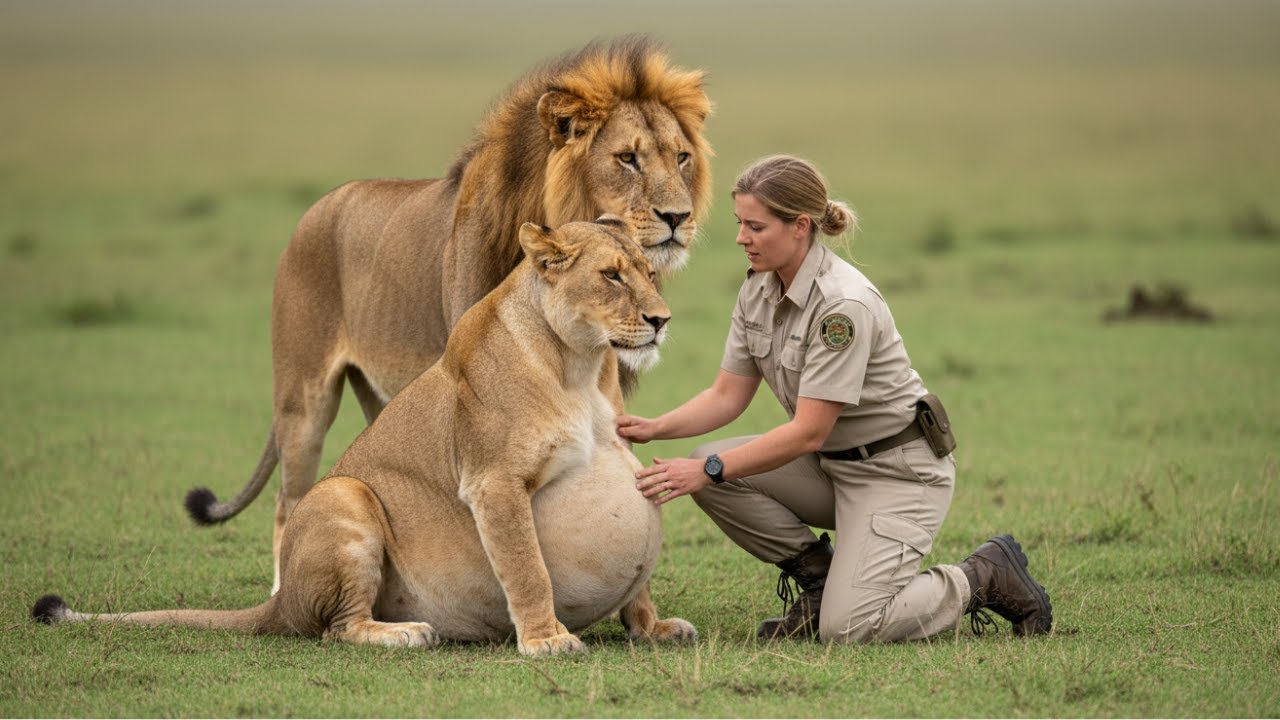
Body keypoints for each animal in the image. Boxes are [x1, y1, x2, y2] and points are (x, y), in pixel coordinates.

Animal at [33, 219, 695, 655]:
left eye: (648, 273)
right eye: (611, 277)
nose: (663, 320)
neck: (581, 366)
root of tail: (279, 599)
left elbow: (639, 576)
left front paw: (651, 627)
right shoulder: (492, 482)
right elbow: (527, 567)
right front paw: (545, 640)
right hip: (344, 494)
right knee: (336, 628)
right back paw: (407, 633)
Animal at [183, 37, 713, 593]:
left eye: (681, 158)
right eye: (627, 158)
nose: (678, 218)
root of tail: (319, 205)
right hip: (302, 399)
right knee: (289, 501)